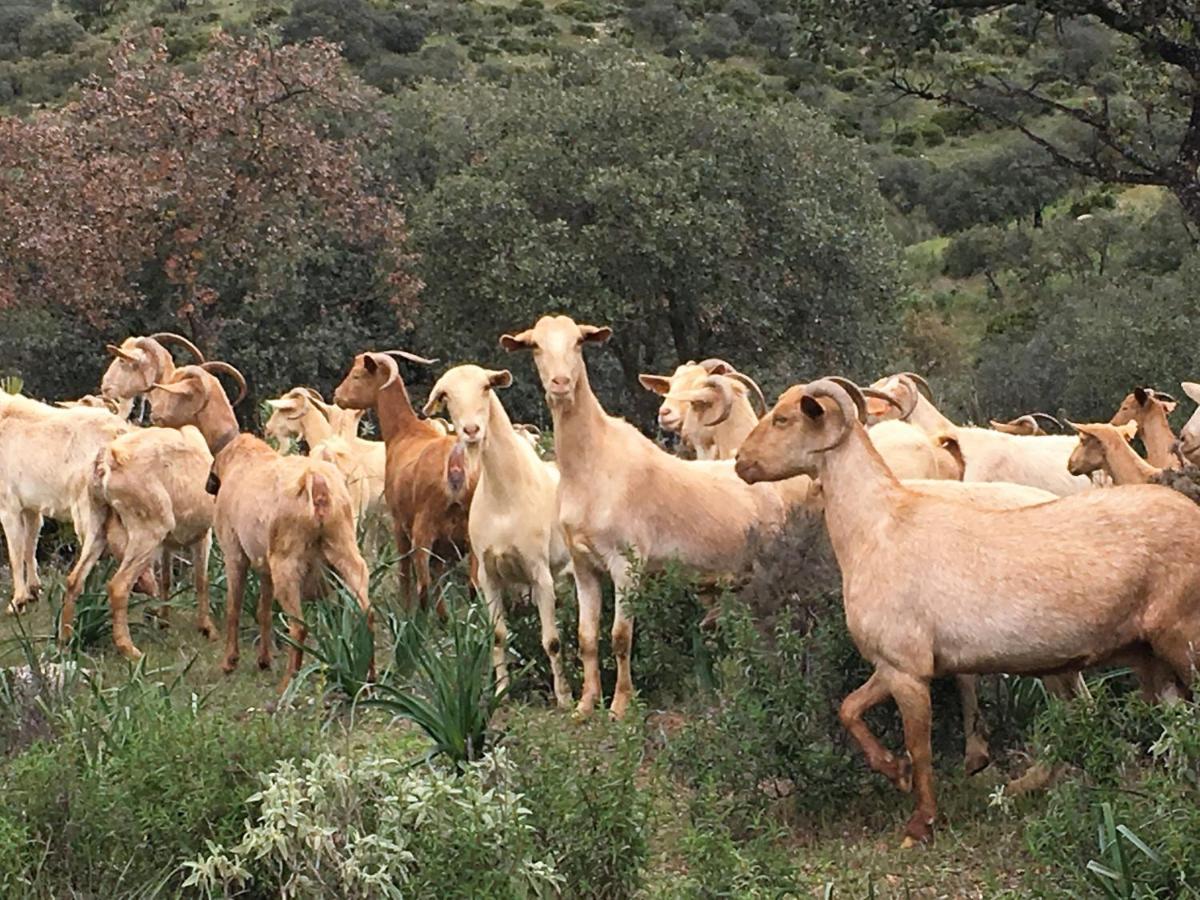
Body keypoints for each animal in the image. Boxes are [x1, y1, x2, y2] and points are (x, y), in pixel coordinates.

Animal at [148, 362, 369, 686]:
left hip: (288, 562)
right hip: (343, 547)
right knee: (366, 610)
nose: (154, 414)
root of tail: (316, 484)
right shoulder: (262, 562)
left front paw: (230, 661)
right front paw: (264, 660)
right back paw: (369, 676)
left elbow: (234, 606)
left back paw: (287, 684)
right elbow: (264, 610)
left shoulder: (234, 551)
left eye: (176, 391)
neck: (232, 452)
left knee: (298, 626)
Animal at [333, 352, 477, 614]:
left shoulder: (399, 523)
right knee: (472, 587)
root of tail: (455, 468)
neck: (405, 433)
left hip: (423, 531)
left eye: (357, 375)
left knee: (423, 587)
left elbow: (404, 575)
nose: (337, 395)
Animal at [501, 314, 792, 720]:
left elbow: (620, 637)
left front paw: (620, 706)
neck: (592, 464)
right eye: (535, 346)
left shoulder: (628, 562)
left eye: (578, 342)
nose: (560, 384)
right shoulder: (583, 565)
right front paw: (585, 705)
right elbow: (586, 637)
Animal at [734, 376, 1200, 849]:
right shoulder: (893, 663)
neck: (877, 526)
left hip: (1181, 636)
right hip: (1146, 657)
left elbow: (918, 744)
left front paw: (919, 824)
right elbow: (849, 709)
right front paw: (895, 771)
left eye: (783, 418)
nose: (740, 462)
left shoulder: (907, 669)